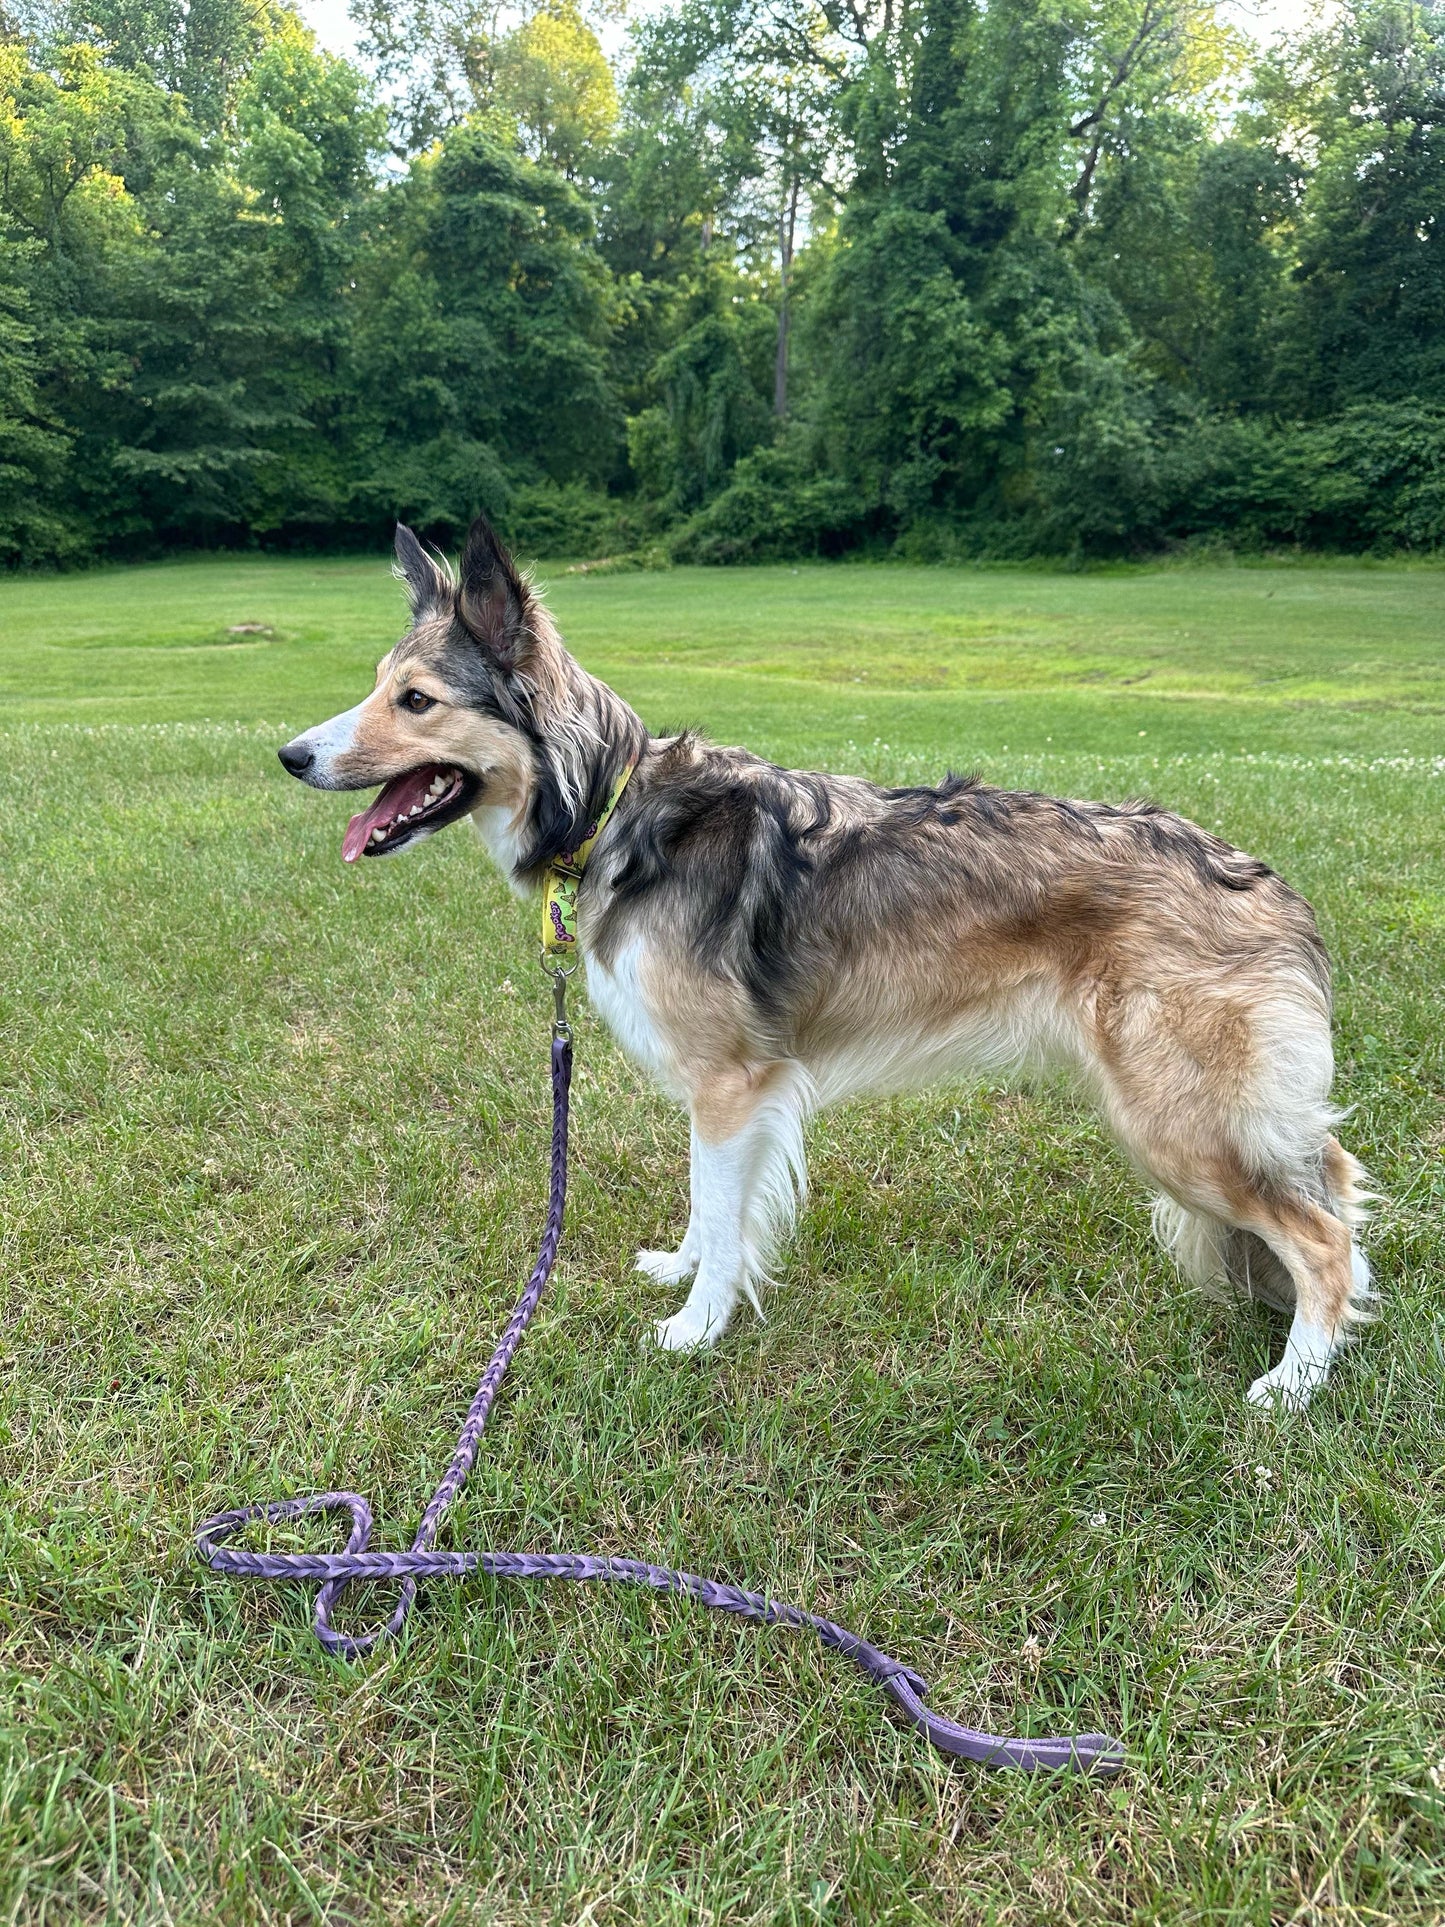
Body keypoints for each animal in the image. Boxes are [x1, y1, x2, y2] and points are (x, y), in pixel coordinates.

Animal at [283, 520, 1379, 1410]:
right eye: (378, 687)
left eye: (415, 700)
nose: (291, 755)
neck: (611, 810)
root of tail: (1270, 888)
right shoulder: (720, 1090)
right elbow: (705, 1202)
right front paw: (681, 1273)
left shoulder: (733, 1084)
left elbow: (726, 1217)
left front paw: (696, 1328)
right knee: (1333, 1176)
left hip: (1174, 1123)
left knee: (1322, 1238)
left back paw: (1292, 1382)